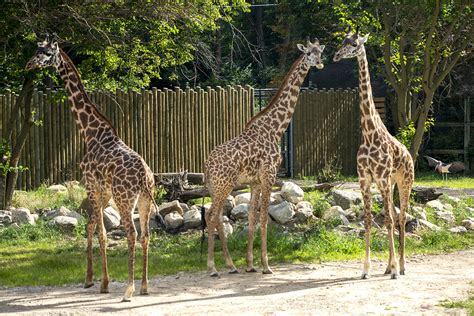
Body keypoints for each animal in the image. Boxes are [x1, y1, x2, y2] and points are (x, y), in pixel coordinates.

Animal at [26, 37, 156, 302]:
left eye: (46, 53)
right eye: (37, 49)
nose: (29, 64)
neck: (89, 132)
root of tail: (144, 178)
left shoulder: (91, 185)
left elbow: (101, 233)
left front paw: (104, 283)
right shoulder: (103, 192)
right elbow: (91, 226)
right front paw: (88, 279)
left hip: (125, 199)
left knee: (132, 233)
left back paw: (129, 289)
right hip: (144, 200)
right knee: (146, 235)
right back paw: (145, 286)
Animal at [204, 37, 326, 276]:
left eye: (320, 52)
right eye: (308, 52)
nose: (319, 63)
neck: (276, 129)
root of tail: (207, 166)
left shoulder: (255, 182)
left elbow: (252, 217)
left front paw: (251, 264)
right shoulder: (269, 176)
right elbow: (264, 218)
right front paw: (266, 266)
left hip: (216, 188)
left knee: (217, 218)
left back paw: (231, 265)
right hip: (224, 186)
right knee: (212, 217)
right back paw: (213, 268)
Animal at [334, 27, 414, 278]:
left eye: (355, 44)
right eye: (342, 41)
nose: (336, 56)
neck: (369, 133)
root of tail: (409, 155)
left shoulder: (382, 178)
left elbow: (387, 221)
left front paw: (396, 269)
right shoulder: (365, 179)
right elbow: (369, 220)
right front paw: (366, 269)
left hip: (404, 181)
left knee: (400, 217)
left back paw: (402, 266)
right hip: (388, 184)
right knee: (393, 216)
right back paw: (388, 266)